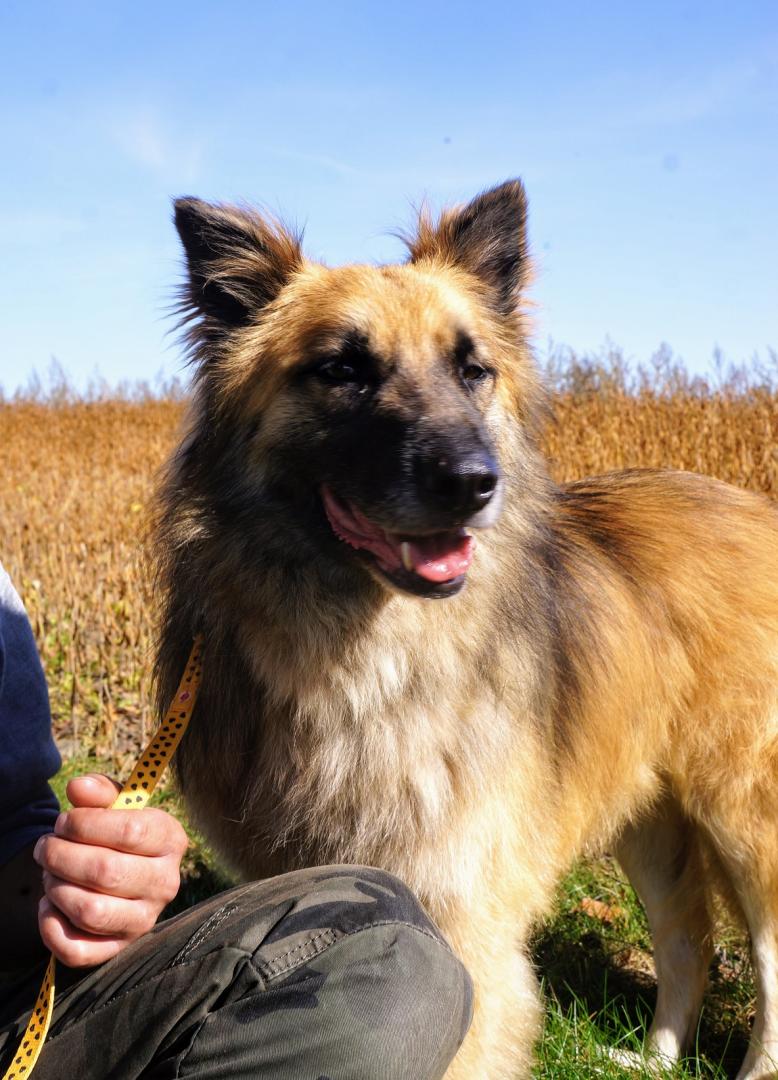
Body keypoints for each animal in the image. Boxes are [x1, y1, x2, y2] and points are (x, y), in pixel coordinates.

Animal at [155, 180, 778, 1078]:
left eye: (472, 369)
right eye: (342, 370)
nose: (474, 483)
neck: (363, 650)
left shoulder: (464, 911)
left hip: (743, 811)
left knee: (769, 951)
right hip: (648, 815)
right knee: (685, 933)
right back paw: (657, 1057)